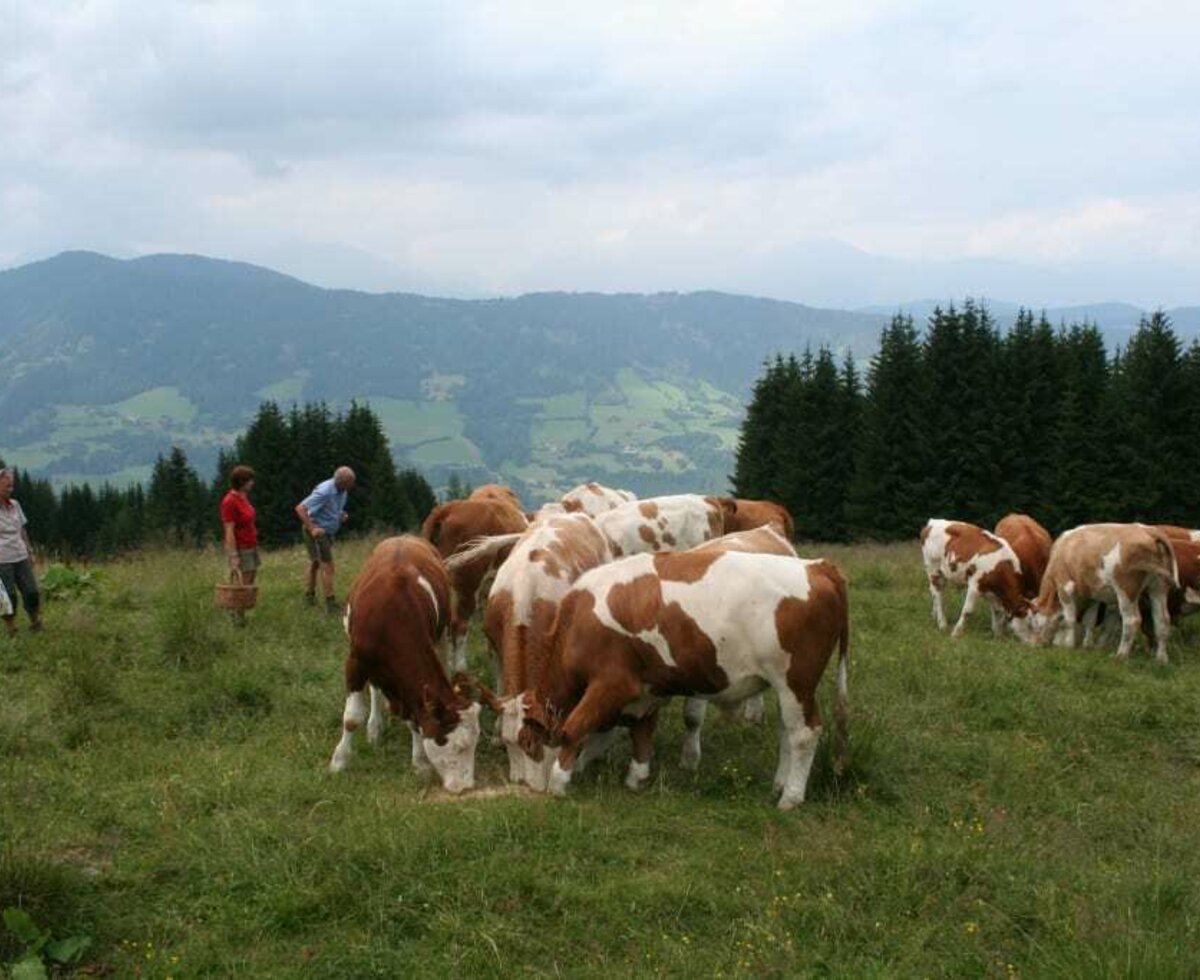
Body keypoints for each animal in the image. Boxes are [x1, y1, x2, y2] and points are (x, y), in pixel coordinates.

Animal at [326, 534, 499, 796]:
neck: (393, 616)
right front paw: (339, 761)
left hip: (441, 635)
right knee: (374, 690)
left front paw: (420, 763)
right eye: (458, 745)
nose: (465, 787)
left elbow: (416, 719)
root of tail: (404, 537)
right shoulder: (355, 662)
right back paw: (374, 728)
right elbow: (352, 718)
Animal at [520, 551, 849, 810]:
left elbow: (573, 728)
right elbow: (642, 731)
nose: (530, 787)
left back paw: (790, 797)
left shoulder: (612, 684)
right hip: (788, 689)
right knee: (786, 732)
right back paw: (779, 785)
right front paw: (636, 777)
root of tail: (817, 566)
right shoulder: (647, 690)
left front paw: (558, 783)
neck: (578, 619)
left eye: (526, 742)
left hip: (796, 682)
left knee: (804, 733)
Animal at [1022, 520, 1180, 666]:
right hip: (1159, 587)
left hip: (1126, 588)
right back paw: (1161, 659)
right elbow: (1089, 620)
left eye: (1032, 622)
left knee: (1132, 620)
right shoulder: (1092, 594)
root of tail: (1148, 530)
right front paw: (1086, 645)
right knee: (1162, 620)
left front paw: (1067, 645)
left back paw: (1120, 656)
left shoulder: (1064, 586)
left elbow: (1069, 620)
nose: (1033, 644)